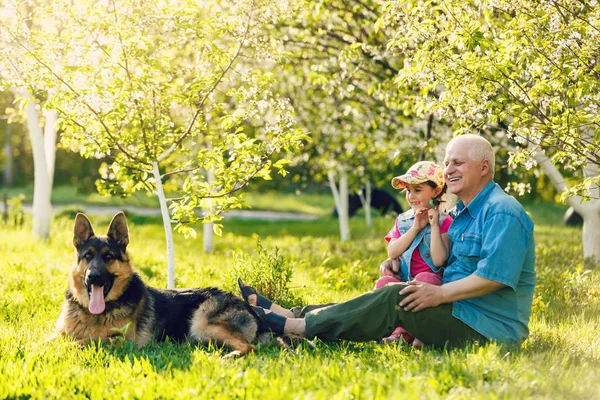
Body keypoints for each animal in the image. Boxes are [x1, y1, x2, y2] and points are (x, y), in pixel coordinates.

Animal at [53, 211, 270, 358]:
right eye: (87, 256)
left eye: (108, 257)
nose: (93, 277)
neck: (93, 314)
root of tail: (249, 308)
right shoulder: (60, 333)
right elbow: (51, 340)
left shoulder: (119, 341)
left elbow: (79, 342)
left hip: (203, 325)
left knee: (249, 347)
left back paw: (228, 356)